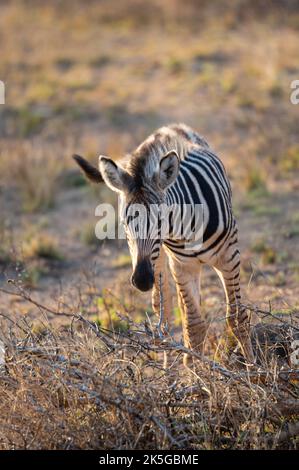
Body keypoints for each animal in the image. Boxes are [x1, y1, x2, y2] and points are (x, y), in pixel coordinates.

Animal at [74, 124, 254, 364]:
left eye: (161, 221)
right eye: (124, 224)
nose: (141, 280)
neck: (186, 229)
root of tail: (168, 128)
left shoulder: (229, 257)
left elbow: (236, 318)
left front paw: (255, 367)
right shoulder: (182, 265)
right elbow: (194, 324)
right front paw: (196, 372)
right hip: (161, 261)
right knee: (165, 311)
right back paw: (172, 364)